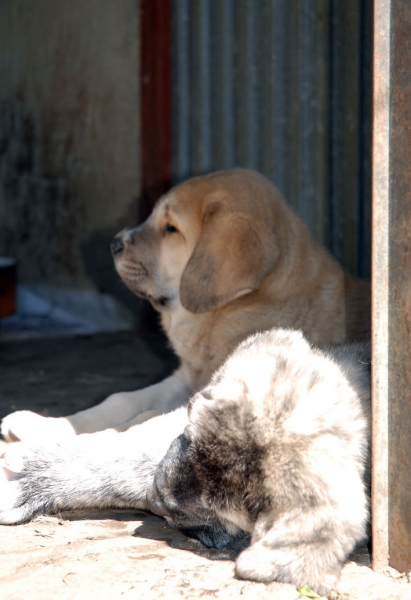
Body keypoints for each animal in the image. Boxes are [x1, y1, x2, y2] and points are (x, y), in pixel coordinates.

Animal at [0, 168, 370, 440]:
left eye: (170, 229)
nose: (114, 244)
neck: (229, 313)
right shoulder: (183, 379)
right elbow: (120, 400)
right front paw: (43, 424)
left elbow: (136, 422)